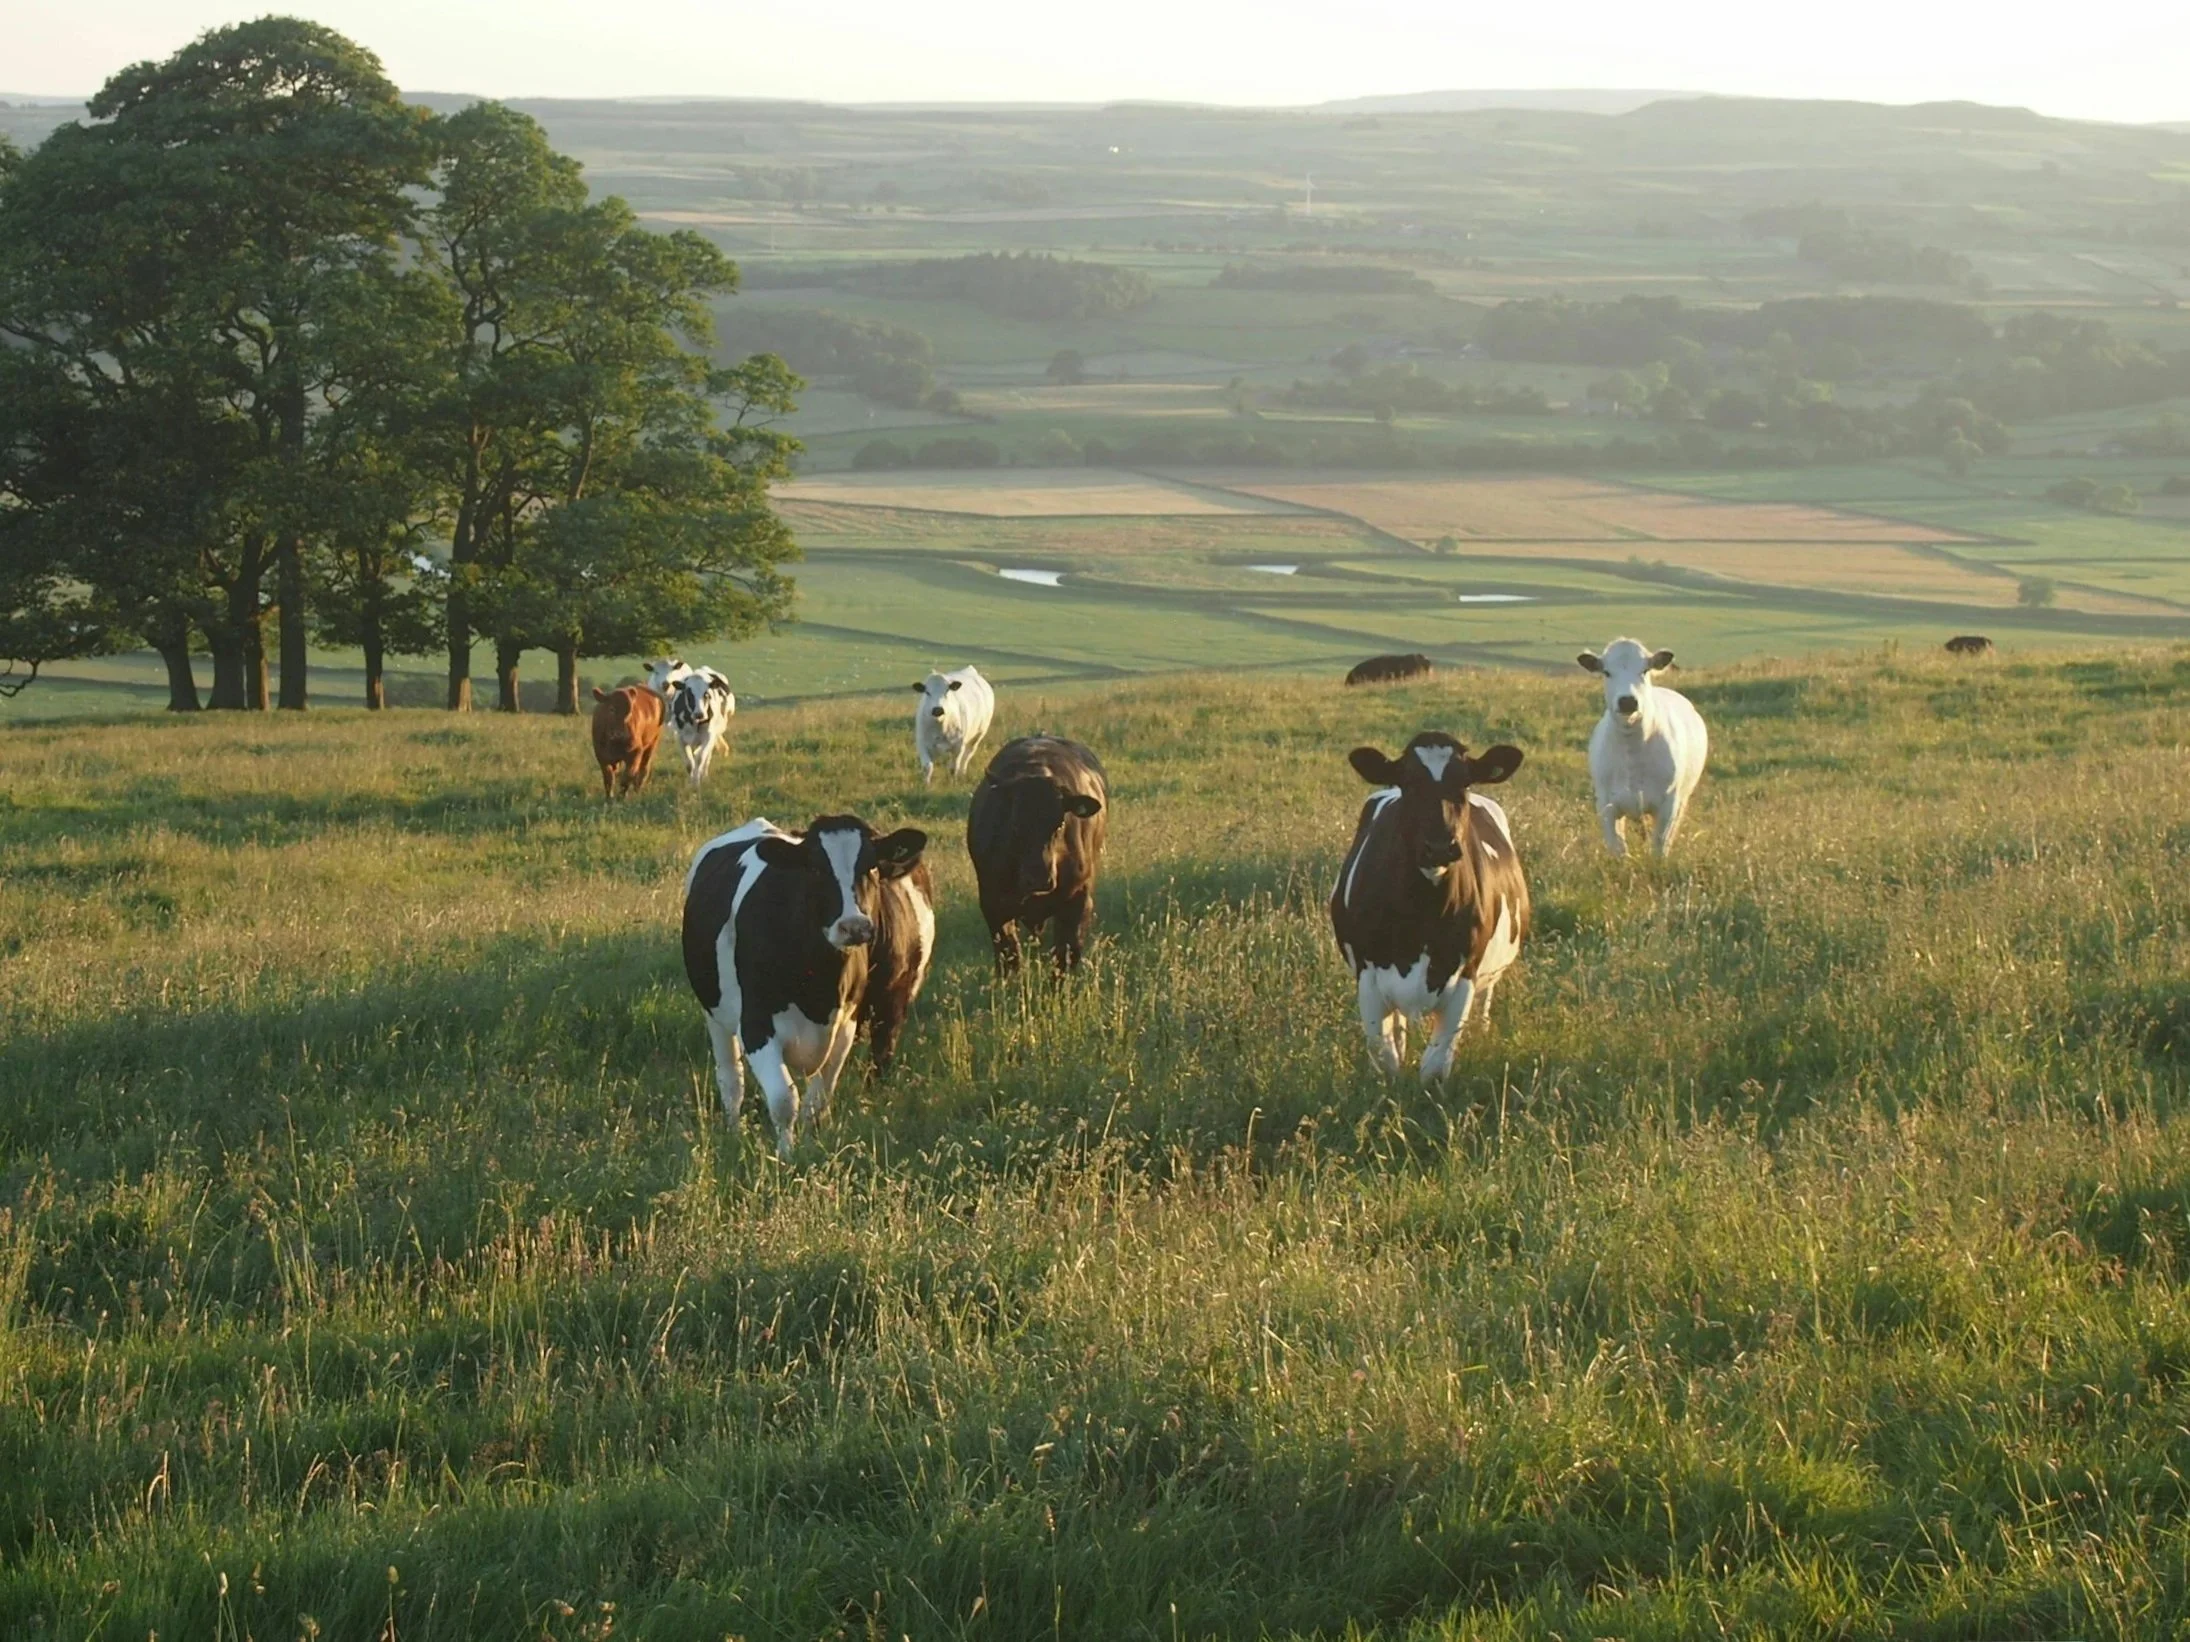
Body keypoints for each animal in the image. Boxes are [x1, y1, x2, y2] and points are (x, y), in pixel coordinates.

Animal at [682, 815, 930, 1157]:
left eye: (871, 866)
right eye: (815, 869)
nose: (854, 926)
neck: (819, 985)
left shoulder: (847, 1026)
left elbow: (817, 1101)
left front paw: (811, 1147)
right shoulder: (756, 1026)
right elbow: (784, 1100)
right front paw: (785, 1156)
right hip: (714, 1014)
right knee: (731, 1079)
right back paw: (733, 1131)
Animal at [967, 735, 1107, 970]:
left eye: (1060, 823)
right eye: (1015, 824)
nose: (1039, 878)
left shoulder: (1078, 901)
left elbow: (1065, 956)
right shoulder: (993, 904)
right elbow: (1009, 956)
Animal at [1330, 732, 1530, 1086]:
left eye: (1464, 783)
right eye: (1409, 782)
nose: (1439, 846)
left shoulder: (1465, 975)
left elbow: (1435, 1067)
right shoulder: (1368, 976)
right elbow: (1386, 1060)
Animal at [1578, 636, 1709, 859]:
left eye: (1645, 670)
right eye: (1606, 672)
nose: (1627, 701)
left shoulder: (1669, 804)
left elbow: (1660, 846)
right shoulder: (1606, 804)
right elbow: (1619, 849)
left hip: (1682, 798)